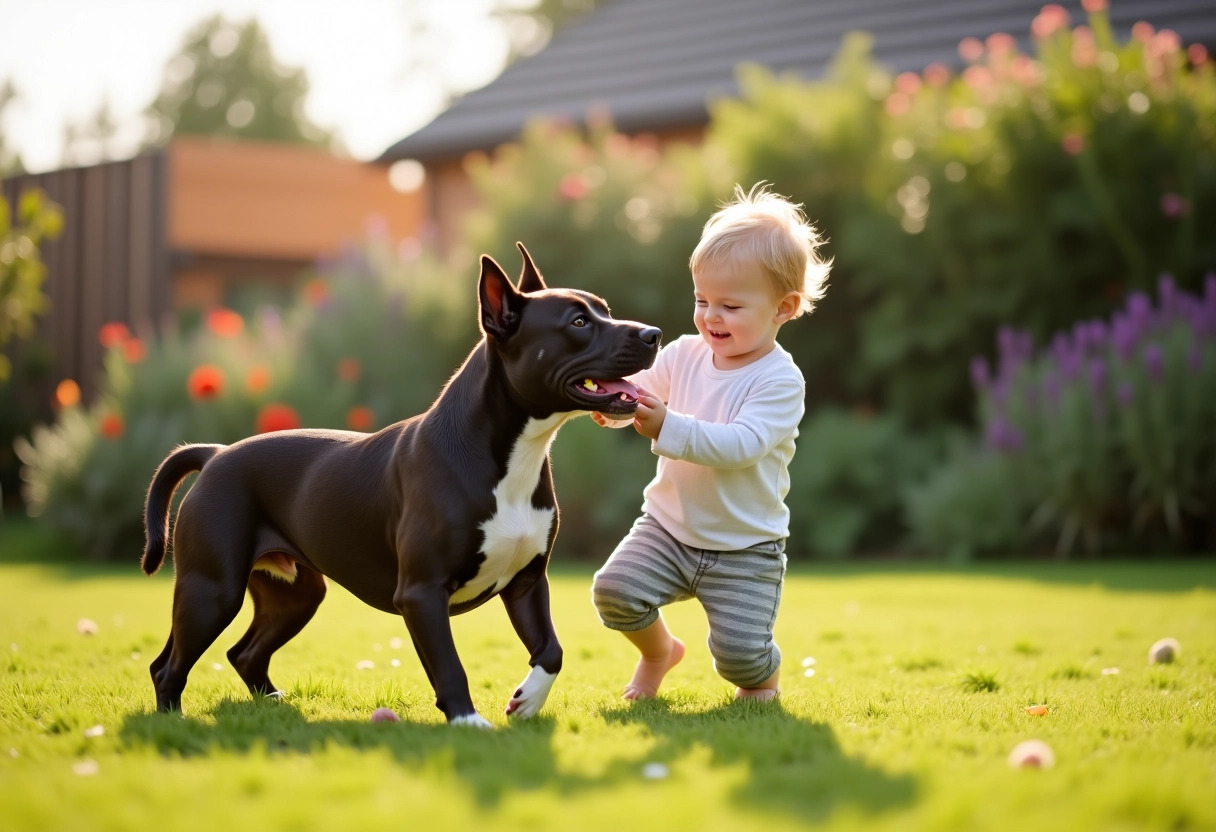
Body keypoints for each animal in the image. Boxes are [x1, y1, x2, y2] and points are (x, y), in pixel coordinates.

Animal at [139, 243, 666, 724]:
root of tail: (216, 454)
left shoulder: (527, 583)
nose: (653, 333)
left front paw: (527, 700)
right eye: (577, 323)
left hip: (294, 595)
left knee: (243, 653)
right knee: (168, 666)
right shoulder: (422, 593)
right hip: (212, 589)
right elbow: (450, 665)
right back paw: (173, 722)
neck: (511, 455)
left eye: (605, 311)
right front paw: (468, 722)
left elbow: (552, 650)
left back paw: (272, 706)